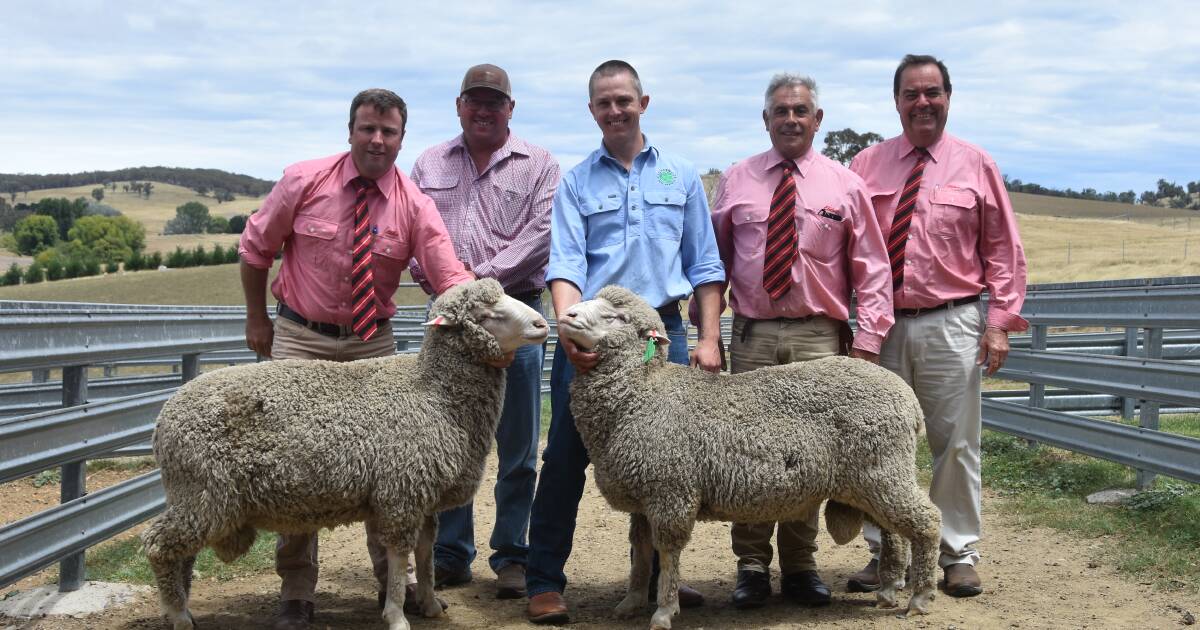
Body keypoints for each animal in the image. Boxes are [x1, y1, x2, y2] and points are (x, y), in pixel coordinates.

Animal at [140, 278, 549, 628]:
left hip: (199, 498)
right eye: (485, 315)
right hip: (202, 492)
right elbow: (400, 560)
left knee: (182, 554)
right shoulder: (401, 494)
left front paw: (429, 604)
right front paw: (397, 615)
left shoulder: (422, 498)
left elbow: (425, 555)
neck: (433, 392)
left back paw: (182, 608)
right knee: (160, 547)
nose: (542, 324)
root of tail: (165, 415)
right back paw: (178, 615)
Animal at [556, 284, 940, 628]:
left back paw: (920, 597)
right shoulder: (643, 498)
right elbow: (640, 553)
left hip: (883, 470)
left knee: (927, 522)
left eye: (617, 317)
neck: (643, 392)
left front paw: (664, 610)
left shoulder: (671, 493)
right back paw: (888, 590)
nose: (567, 315)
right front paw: (631, 602)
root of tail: (908, 398)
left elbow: (667, 554)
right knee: (894, 533)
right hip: (872, 481)